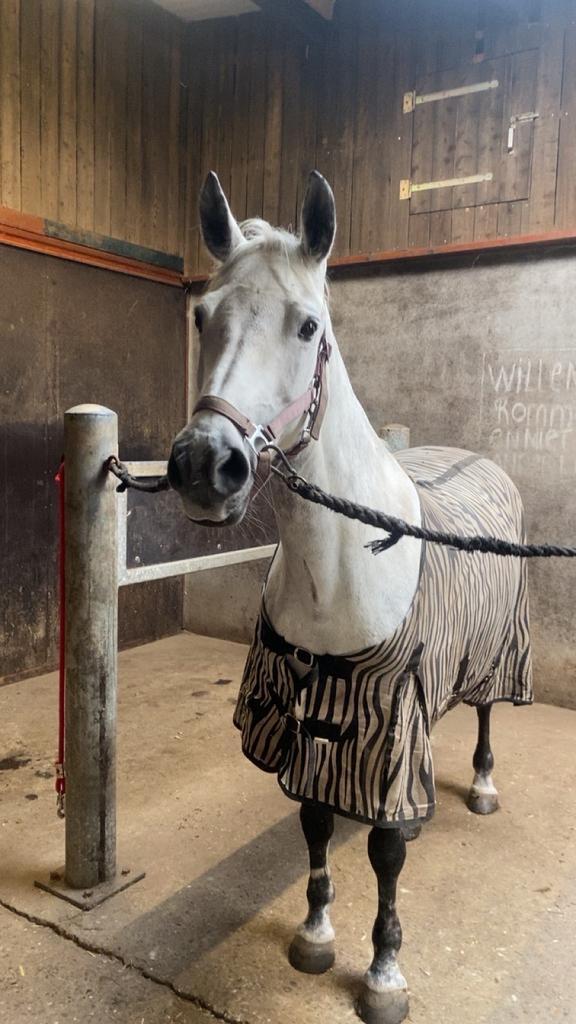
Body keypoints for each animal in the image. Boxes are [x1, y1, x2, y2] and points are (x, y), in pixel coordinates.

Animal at [168, 170, 533, 1024]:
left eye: (308, 326)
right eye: (202, 315)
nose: (205, 465)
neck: (336, 573)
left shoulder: (389, 720)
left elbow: (385, 848)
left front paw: (383, 973)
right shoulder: (313, 714)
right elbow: (315, 818)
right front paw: (314, 935)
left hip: (492, 650)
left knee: (486, 710)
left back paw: (483, 788)